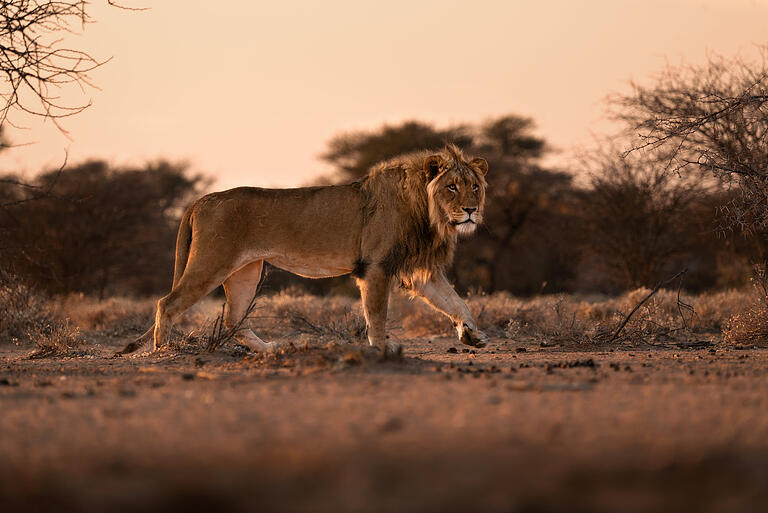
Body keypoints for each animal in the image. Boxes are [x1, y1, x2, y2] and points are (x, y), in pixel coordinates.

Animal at [124, 142, 488, 354]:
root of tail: (200, 200)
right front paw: (382, 349)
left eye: (474, 186)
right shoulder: (376, 266)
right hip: (211, 262)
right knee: (167, 303)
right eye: (451, 187)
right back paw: (164, 350)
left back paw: (271, 349)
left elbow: (455, 301)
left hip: (245, 270)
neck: (429, 213)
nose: (471, 210)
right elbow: (377, 314)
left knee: (233, 319)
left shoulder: (417, 270)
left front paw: (473, 335)